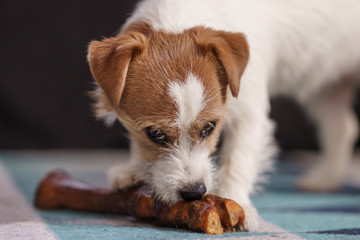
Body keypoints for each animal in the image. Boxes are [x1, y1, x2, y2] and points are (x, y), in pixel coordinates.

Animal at [86, 0, 360, 229]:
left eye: (209, 127)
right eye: (155, 134)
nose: (195, 192)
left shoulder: (249, 115)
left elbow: (238, 160)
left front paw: (235, 202)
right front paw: (133, 170)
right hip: (328, 86)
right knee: (342, 127)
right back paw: (326, 178)